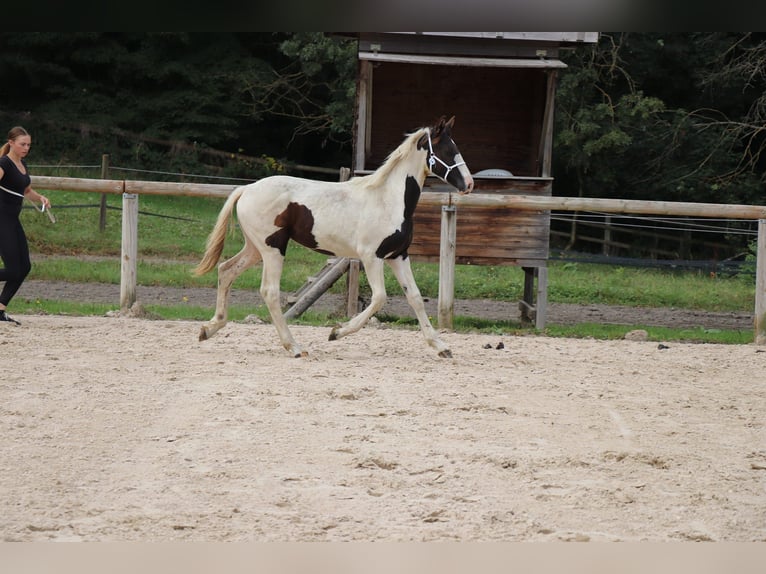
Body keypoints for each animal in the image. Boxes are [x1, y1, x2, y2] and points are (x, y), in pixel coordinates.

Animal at [196, 116, 474, 360]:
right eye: (447, 150)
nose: (469, 184)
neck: (387, 199)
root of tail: (246, 189)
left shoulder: (398, 256)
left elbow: (415, 297)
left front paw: (441, 347)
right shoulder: (371, 257)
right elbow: (379, 298)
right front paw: (336, 332)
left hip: (255, 248)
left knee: (226, 270)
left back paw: (209, 329)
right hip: (273, 249)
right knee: (269, 291)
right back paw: (294, 347)